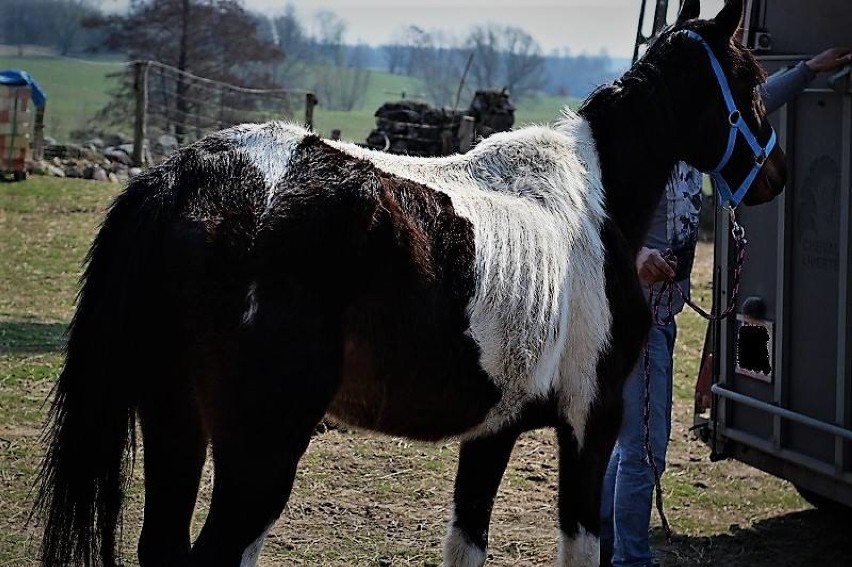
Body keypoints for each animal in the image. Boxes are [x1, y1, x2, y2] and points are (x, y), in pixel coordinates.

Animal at [33, 2, 788, 564]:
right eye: (750, 78)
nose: (775, 177)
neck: (594, 202)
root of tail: (181, 179)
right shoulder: (589, 421)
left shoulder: (493, 430)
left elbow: (466, 543)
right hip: (260, 451)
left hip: (177, 424)